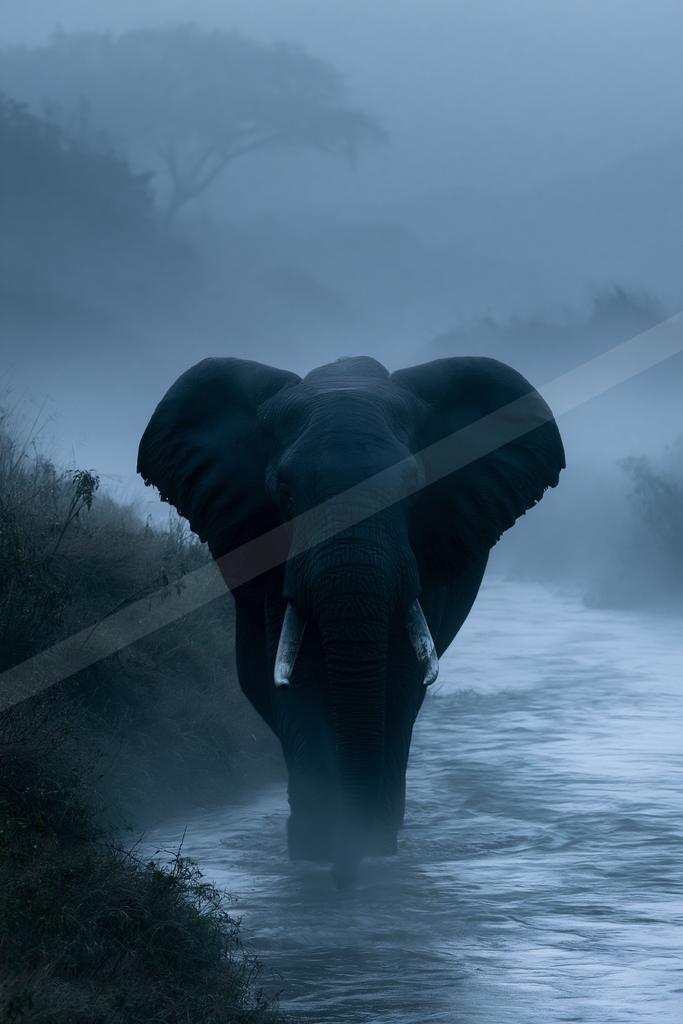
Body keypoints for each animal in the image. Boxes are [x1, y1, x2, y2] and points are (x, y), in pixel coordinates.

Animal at [138, 355, 564, 884]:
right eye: (284, 492)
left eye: (413, 487)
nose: (348, 869)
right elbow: (296, 672)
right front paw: (321, 844)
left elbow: (398, 674)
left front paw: (368, 841)